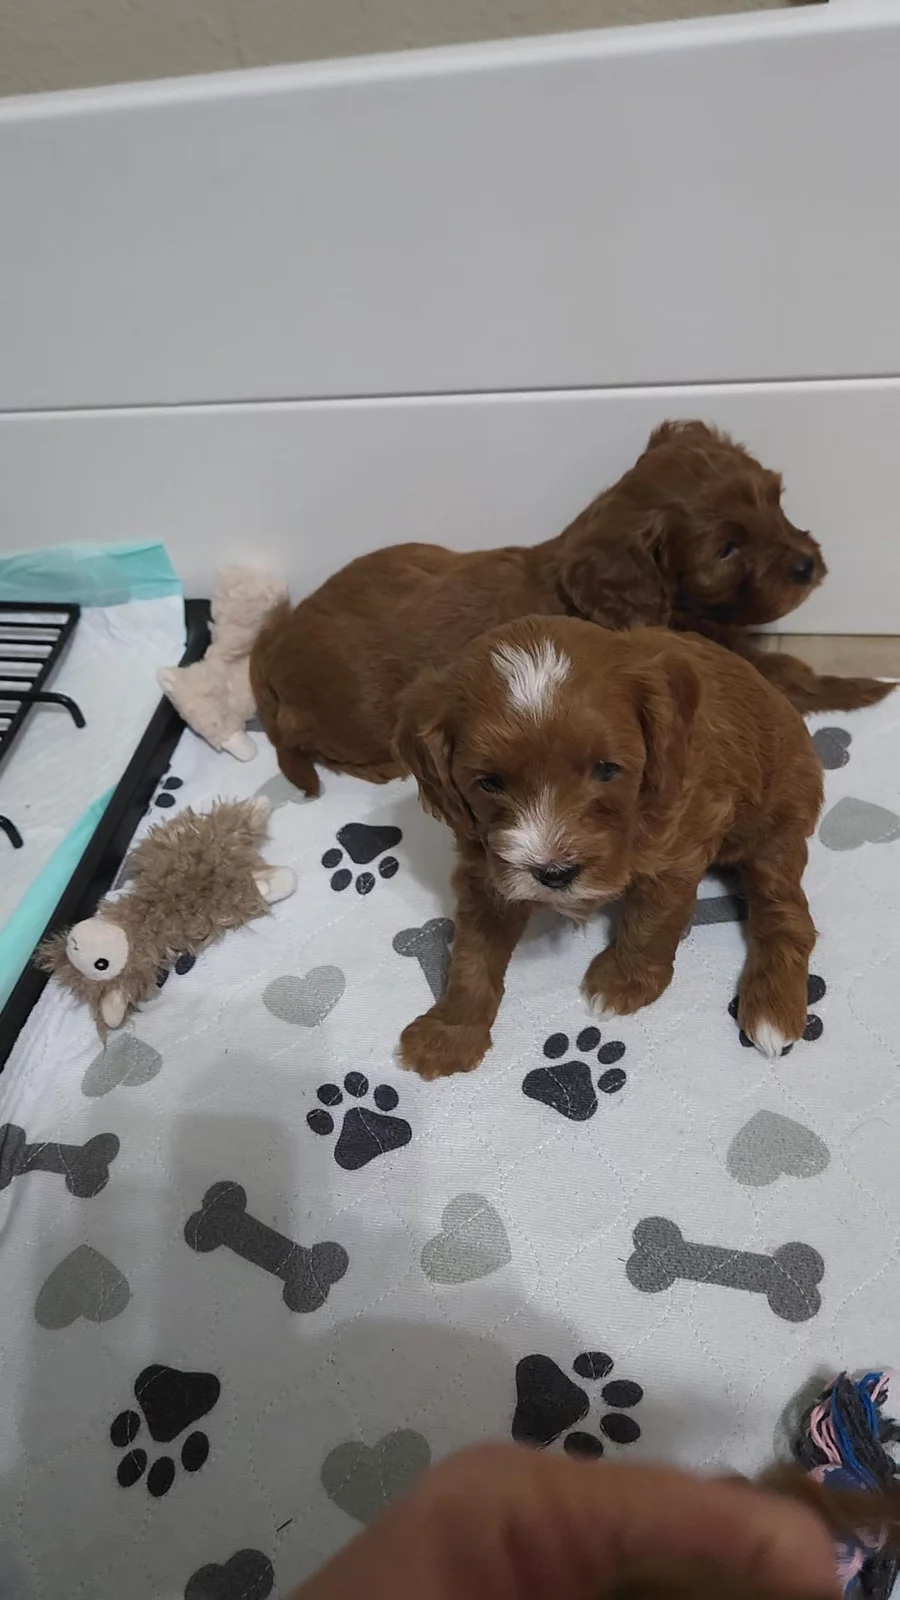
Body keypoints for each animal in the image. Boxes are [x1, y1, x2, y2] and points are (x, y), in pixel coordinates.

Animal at [250, 420, 890, 798]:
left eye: (775, 500)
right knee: (305, 737)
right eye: (727, 550)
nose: (807, 564)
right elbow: (786, 675)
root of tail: (274, 646)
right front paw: (869, 688)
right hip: (361, 715)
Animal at [393, 615, 823, 1081]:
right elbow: (473, 950)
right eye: (489, 783)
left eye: (606, 769)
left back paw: (770, 1012)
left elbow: (652, 920)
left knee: (786, 912)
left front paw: (622, 983)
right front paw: (450, 1033)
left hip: (778, 822)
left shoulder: (677, 844)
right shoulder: (489, 864)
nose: (554, 874)